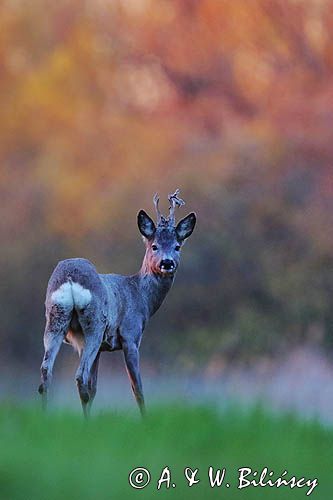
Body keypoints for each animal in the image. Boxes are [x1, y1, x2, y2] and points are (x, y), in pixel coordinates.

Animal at [38, 189, 196, 416]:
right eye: (154, 246)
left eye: (177, 246)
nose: (167, 263)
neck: (141, 296)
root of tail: (70, 278)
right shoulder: (131, 335)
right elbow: (137, 388)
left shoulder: (100, 348)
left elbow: (95, 387)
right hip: (94, 325)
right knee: (80, 376)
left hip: (55, 320)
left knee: (46, 373)